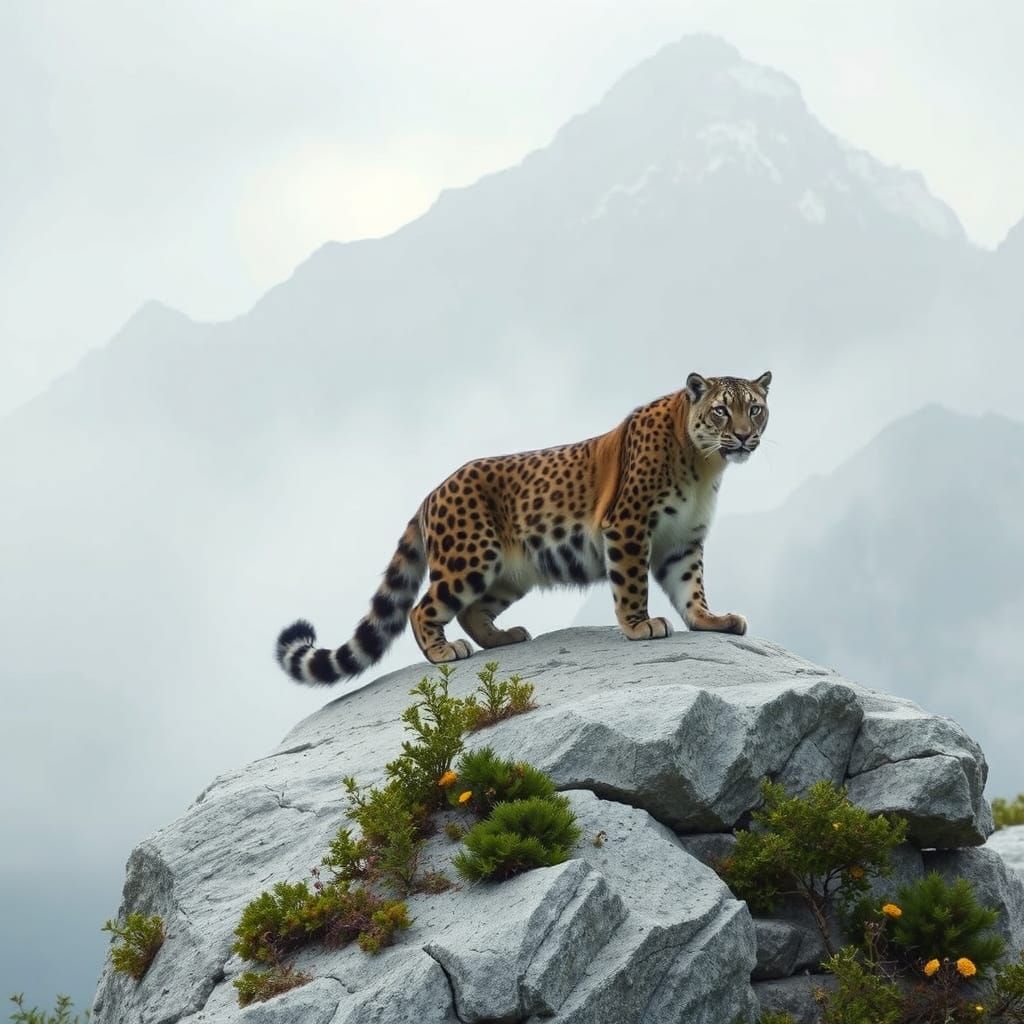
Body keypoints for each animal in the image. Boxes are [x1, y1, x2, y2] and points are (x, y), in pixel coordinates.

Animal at [277, 371, 771, 684]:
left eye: (756, 410)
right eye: (722, 411)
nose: (745, 437)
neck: (704, 463)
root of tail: (431, 493)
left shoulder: (683, 541)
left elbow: (692, 587)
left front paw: (711, 620)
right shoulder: (628, 526)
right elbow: (632, 585)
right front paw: (639, 625)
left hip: (509, 572)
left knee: (472, 611)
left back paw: (503, 638)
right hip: (470, 558)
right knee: (422, 609)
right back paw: (444, 652)